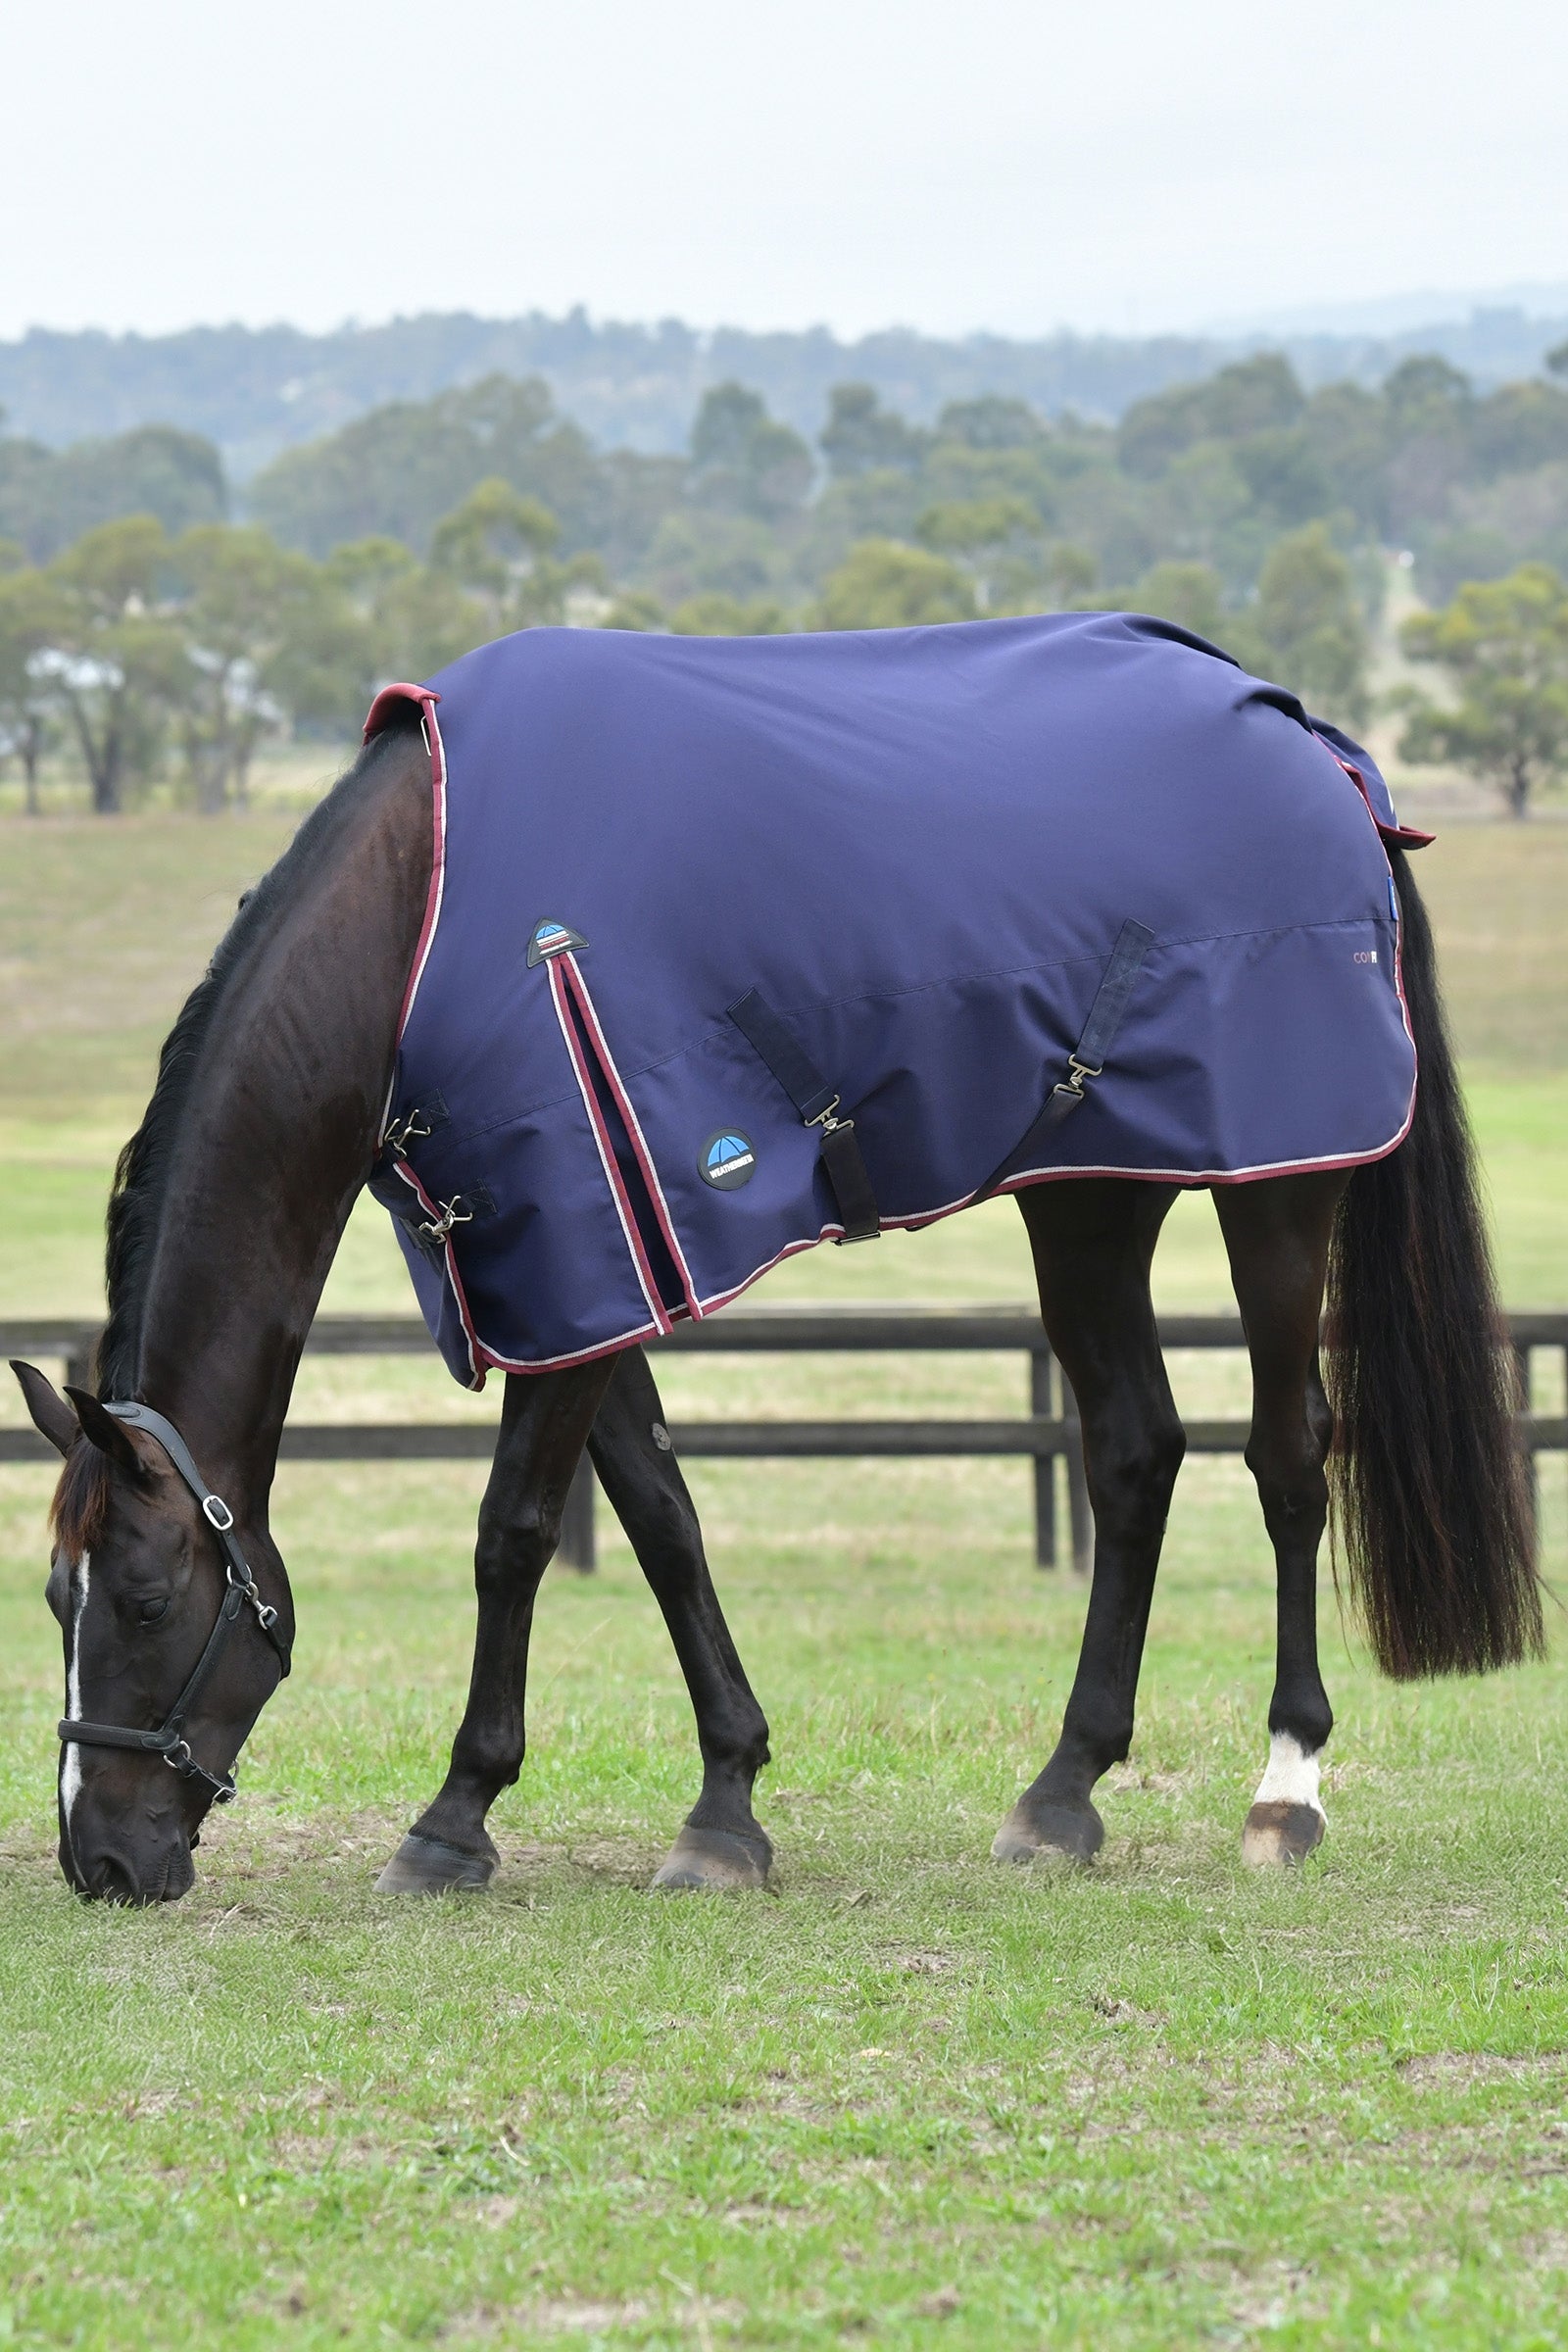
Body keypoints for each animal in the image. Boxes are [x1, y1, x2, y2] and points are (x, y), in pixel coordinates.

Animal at [13, 614, 1539, 1906]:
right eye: (53, 1598)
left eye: (144, 1600)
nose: (101, 1861)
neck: (426, 915)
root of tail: (1313, 745)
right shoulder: (570, 1271)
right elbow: (662, 1521)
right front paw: (725, 1803)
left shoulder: (582, 1240)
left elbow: (514, 1534)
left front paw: (453, 1819)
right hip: (1087, 1198)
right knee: (1131, 1454)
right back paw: (1062, 1794)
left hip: (1277, 1191)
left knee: (1289, 1453)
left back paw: (1285, 1789)